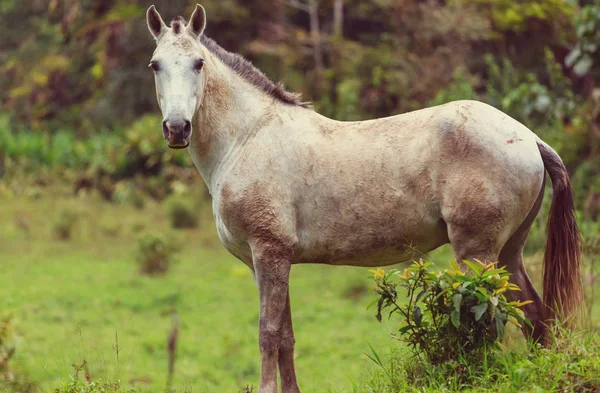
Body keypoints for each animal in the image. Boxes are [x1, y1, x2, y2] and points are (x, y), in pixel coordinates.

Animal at [144, 4, 580, 390]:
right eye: (155, 65)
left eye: (198, 63)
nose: (177, 129)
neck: (248, 137)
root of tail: (530, 138)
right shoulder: (269, 262)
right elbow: (286, 338)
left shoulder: (268, 254)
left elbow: (268, 334)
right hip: (508, 252)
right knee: (535, 317)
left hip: (478, 253)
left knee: (488, 321)